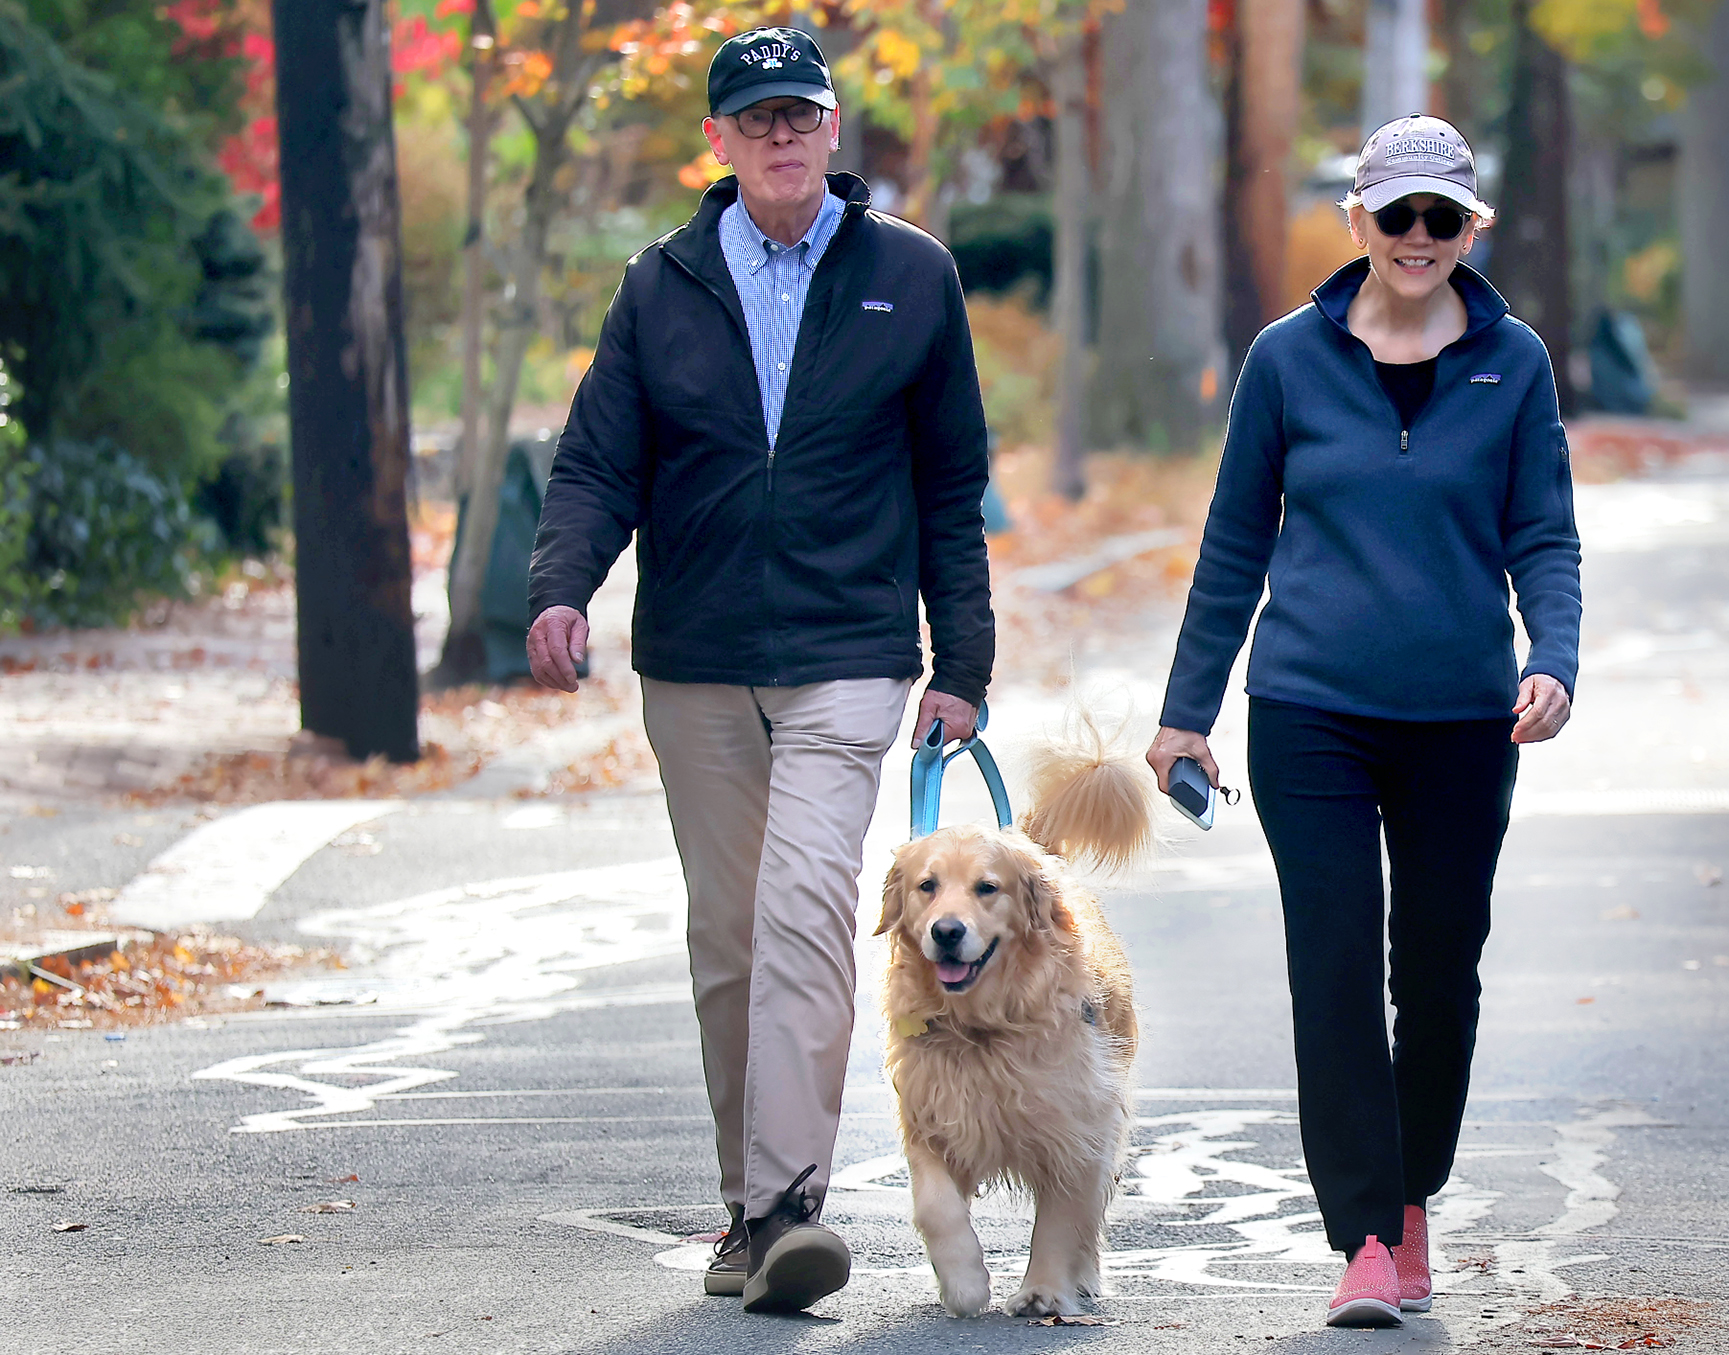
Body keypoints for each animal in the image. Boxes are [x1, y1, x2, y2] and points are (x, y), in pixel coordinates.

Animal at [878, 725, 1148, 1320]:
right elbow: (936, 1208)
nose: (946, 932)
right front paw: (963, 1284)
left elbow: (1063, 1216)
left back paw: (1084, 1279)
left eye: (988, 887)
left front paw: (1045, 1289)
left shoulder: (1077, 1125)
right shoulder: (930, 1115)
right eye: (927, 886)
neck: (983, 1029)